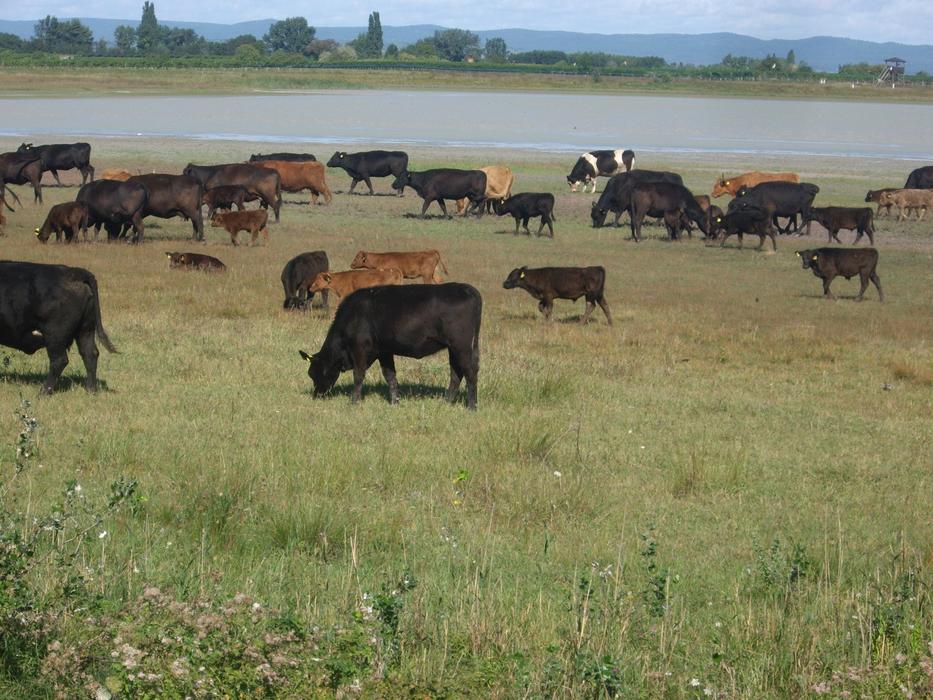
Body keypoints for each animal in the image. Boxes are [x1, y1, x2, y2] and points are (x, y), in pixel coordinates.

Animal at [0, 261, 117, 394]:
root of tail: (73, 272)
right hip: (85, 329)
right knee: (90, 354)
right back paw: (91, 390)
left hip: (55, 335)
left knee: (59, 361)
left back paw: (44, 391)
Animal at [298, 283, 482, 409]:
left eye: (313, 373)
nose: (317, 395)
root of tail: (467, 289)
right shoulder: (384, 351)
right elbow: (390, 376)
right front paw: (394, 402)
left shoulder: (359, 348)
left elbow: (358, 375)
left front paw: (353, 401)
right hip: (455, 348)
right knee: (456, 374)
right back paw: (446, 401)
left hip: (461, 346)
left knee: (470, 372)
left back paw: (472, 406)